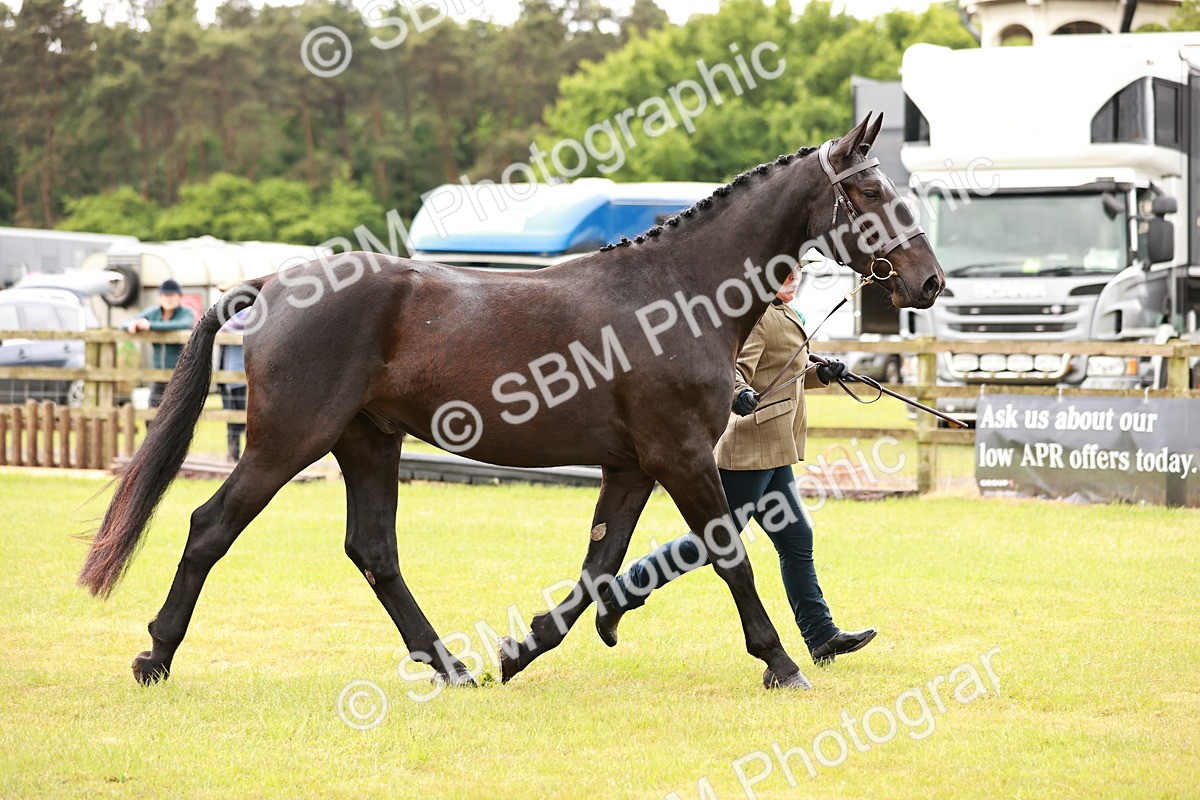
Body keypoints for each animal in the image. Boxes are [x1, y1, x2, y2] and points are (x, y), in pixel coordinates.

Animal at [78, 114, 944, 691]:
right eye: (871, 189)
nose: (931, 281)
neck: (676, 293)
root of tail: (276, 285)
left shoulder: (632, 468)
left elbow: (600, 566)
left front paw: (524, 648)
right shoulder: (682, 457)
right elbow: (729, 555)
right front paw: (781, 663)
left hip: (368, 442)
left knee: (374, 551)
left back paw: (452, 666)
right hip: (284, 443)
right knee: (209, 528)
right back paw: (155, 656)